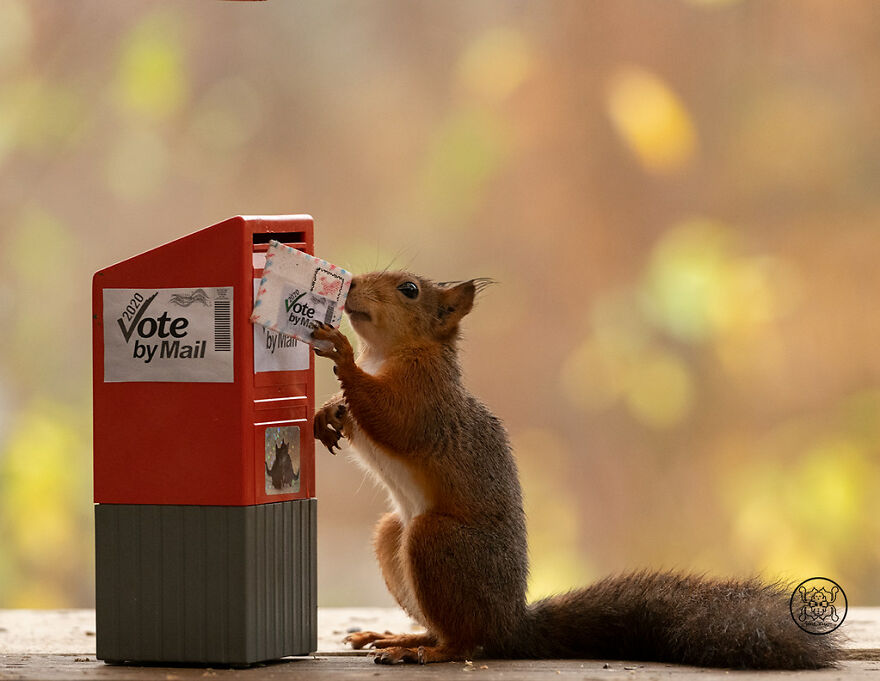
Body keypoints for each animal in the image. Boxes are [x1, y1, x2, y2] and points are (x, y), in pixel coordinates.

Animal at [310, 272, 840, 668]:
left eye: (409, 289)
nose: (351, 283)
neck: (392, 353)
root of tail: (511, 623)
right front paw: (328, 412)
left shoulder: (426, 401)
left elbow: (393, 421)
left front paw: (342, 352)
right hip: (392, 536)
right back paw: (401, 638)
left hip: (437, 540)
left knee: (467, 641)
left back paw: (428, 651)